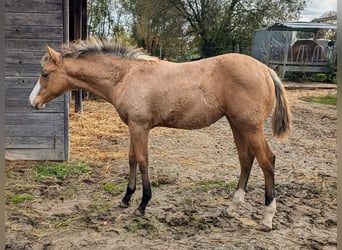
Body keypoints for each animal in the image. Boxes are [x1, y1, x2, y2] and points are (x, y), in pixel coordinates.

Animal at [30, 37, 292, 232]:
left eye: (45, 74)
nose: (32, 102)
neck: (126, 76)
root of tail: (266, 70)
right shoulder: (133, 126)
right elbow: (132, 159)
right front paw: (126, 199)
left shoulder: (140, 126)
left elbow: (143, 161)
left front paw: (143, 203)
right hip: (237, 124)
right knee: (246, 159)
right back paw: (232, 207)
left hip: (250, 127)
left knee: (267, 160)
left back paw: (267, 218)